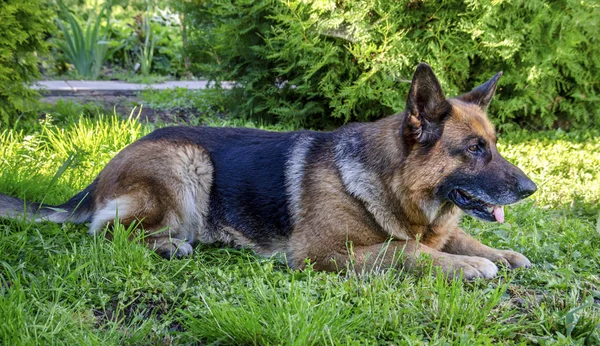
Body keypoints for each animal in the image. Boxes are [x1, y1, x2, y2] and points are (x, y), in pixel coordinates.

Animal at [0, 64, 536, 278]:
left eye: (494, 145)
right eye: (474, 149)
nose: (531, 189)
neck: (389, 182)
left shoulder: (439, 228)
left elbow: (457, 238)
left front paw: (500, 253)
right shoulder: (323, 253)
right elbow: (404, 252)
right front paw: (467, 266)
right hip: (185, 163)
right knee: (106, 230)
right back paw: (170, 245)